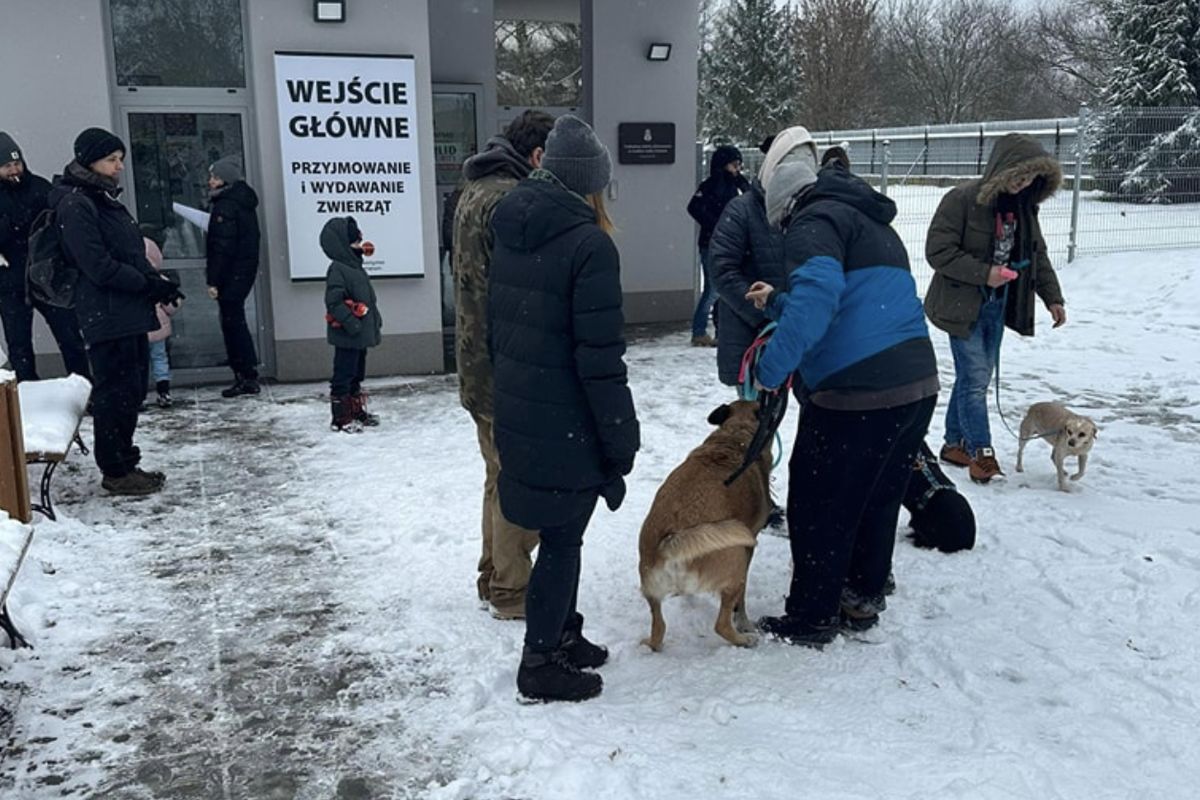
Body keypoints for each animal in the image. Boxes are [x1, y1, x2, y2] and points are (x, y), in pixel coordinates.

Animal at [643, 402, 772, 652]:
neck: (735, 435)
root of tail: (671, 542)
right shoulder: (749, 548)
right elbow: (741, 600)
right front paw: (744, 622)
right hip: (736, 559)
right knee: (721, 625)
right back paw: (743, 640)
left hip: (651, 592)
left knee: (659, 629)